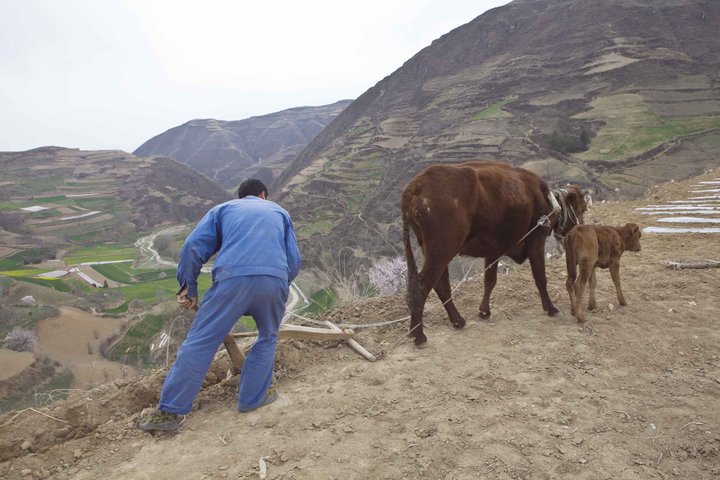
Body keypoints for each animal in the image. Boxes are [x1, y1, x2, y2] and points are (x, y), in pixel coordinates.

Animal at [402, 161, 588, 344]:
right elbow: (540, 278)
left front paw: (484, 311)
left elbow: (490, 281)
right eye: (582, 209)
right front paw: (550, 308)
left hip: (433, 252)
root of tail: (415, 187)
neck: (546, 201)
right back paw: (418, 334)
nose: (579, 229)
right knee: (423, 285)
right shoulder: (536, 241)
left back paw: (457, 320)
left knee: (441, 285)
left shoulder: (493, 251)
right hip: (441, 251)